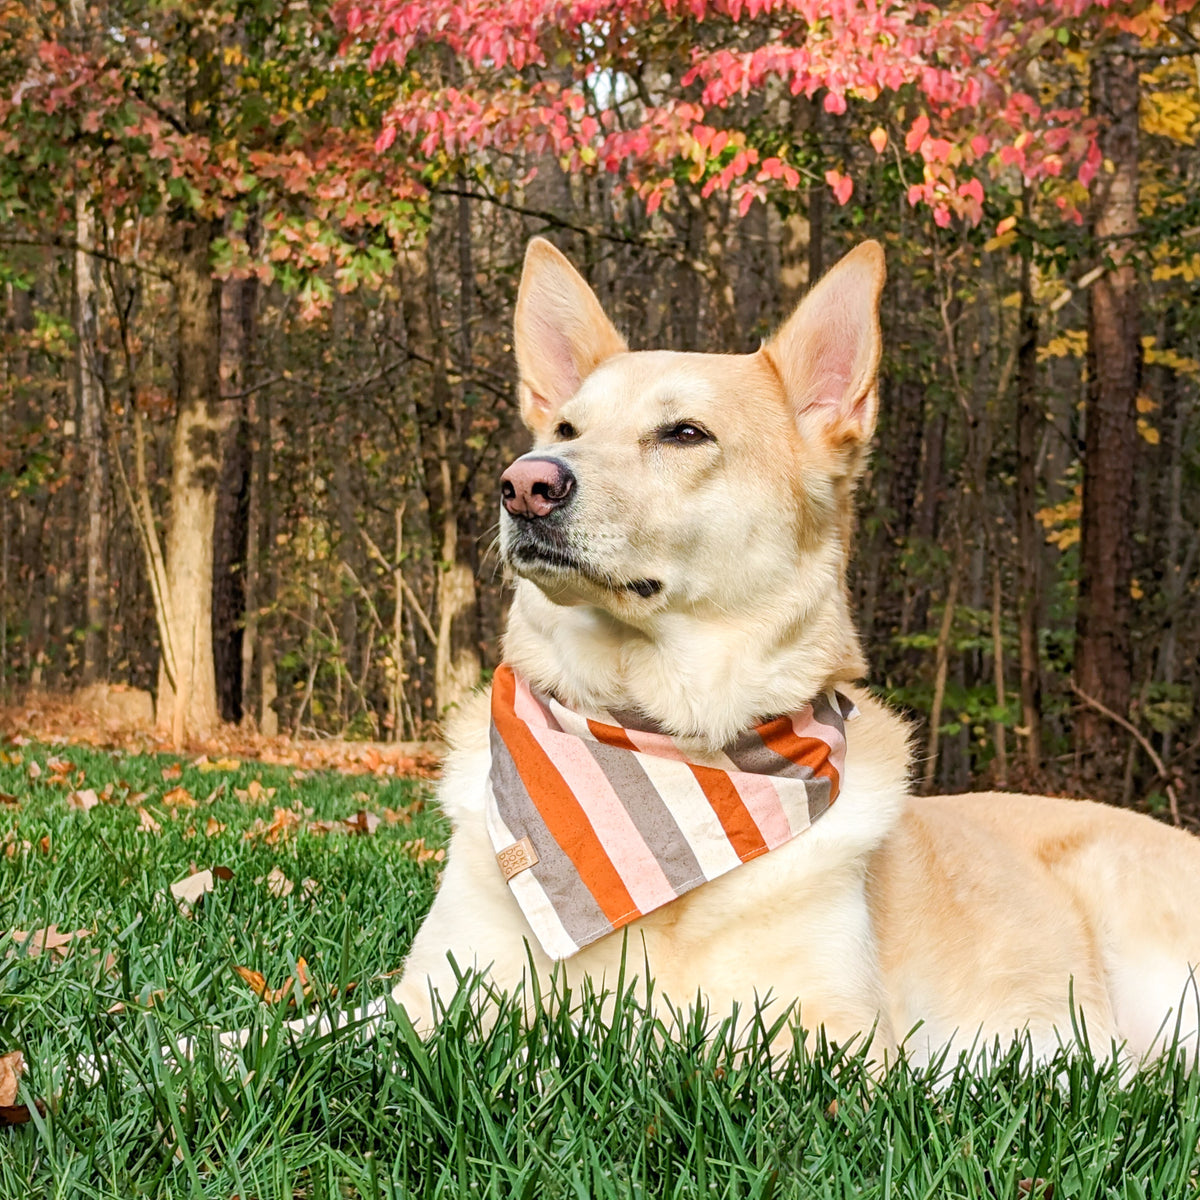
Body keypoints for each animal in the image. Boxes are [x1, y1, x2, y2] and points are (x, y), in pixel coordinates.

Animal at [379, 236, 1200, 1070]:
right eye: (565, 432)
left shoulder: (828, 1043)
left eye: (685, 433)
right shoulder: (421, 999)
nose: (525, 483)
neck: (651, 737)